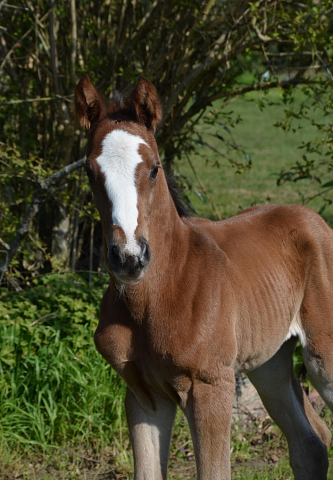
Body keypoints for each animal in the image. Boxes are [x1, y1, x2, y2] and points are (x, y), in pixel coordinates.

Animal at [75, 76, 332, 480]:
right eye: (89, 171)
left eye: (155, 168)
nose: (129, 257)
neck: (161, 292)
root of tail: (315, 220)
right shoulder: (143, 395)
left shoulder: (211, 386)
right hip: (269, 363)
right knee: (311, 443)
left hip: (323, 356)